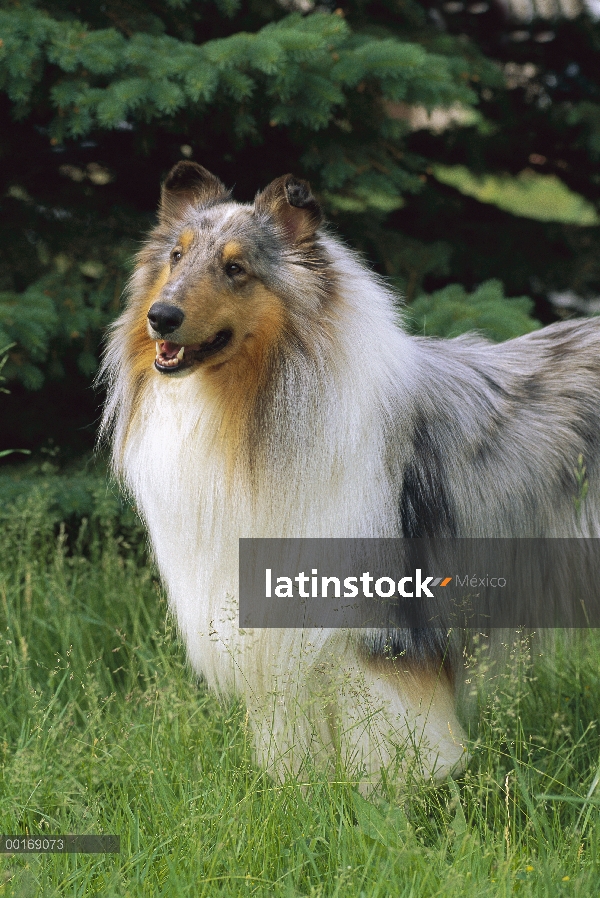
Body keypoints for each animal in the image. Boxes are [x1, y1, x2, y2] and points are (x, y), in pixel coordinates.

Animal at [98, 161, 600, 784]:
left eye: (236, 269)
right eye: (175, 256)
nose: (160, 317)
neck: (250, 408)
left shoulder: (373, 624)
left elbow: (390, 728)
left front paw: (399, 789)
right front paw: (297, 788)